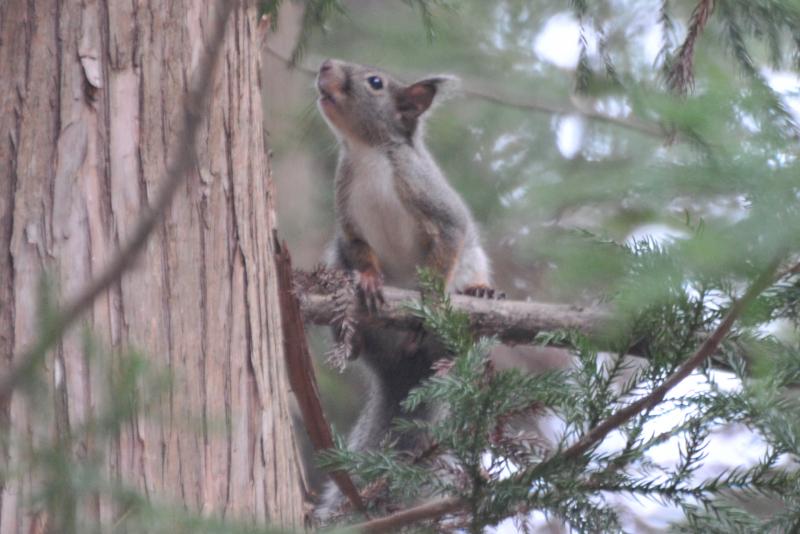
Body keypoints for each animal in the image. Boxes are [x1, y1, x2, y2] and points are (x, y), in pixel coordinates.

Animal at [310, 59, 494, 524]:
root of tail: (405, 370)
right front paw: (370, 281)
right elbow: (361, 253)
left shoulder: (436, 207)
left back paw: (473, 306)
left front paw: (430, 297)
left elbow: (447, 246)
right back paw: (356, 338)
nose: (325, 65)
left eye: (375, 82)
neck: (368, 153)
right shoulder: (348, 226)